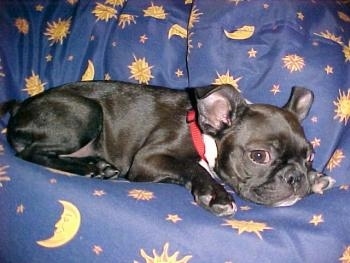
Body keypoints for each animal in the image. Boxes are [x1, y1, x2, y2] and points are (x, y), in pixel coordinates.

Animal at [0, 82, 334, 217]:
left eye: (309, 156)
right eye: (259, 156)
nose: (295, 177)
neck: (204, 134)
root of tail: (20, 108)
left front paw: (315, 178)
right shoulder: (147, 160)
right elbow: (191, 166)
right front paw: (214, 195)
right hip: (86, 112)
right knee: (29, 153)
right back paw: (92, 168)